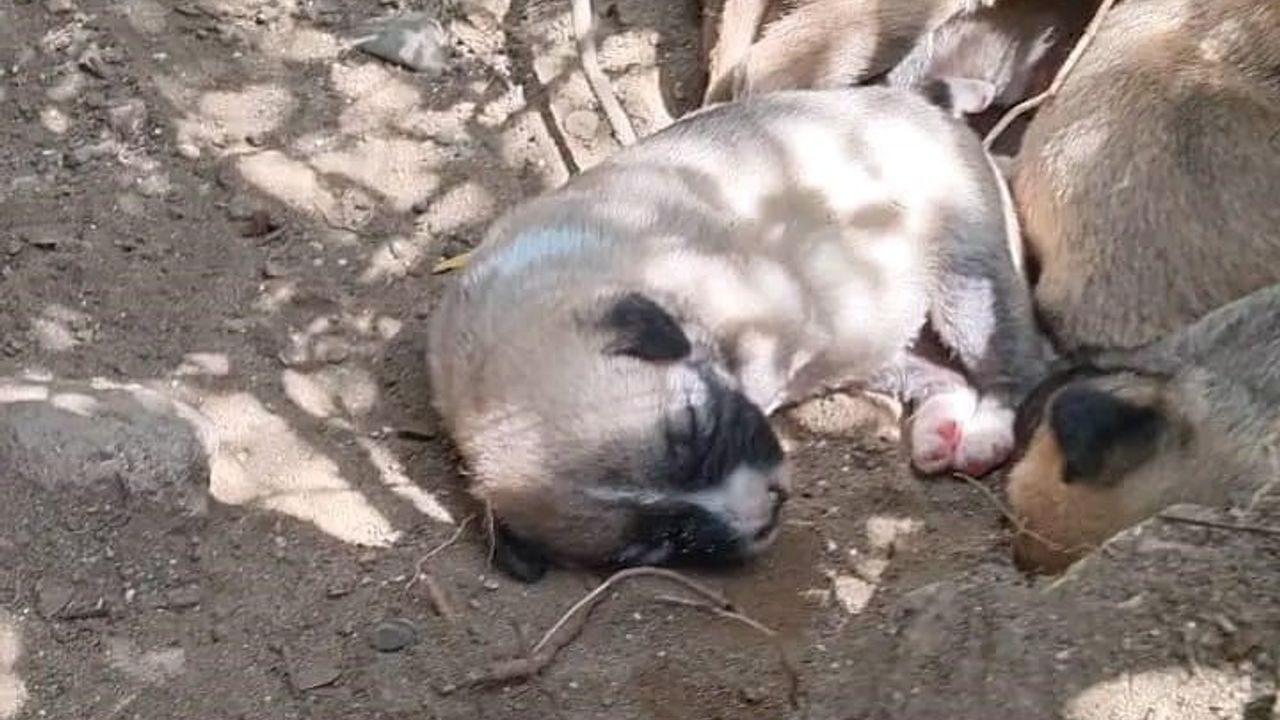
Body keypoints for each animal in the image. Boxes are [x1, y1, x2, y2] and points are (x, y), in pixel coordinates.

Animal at [428, 86, 1051, 581]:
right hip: (878, 351)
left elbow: (759, 370)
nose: (765, 512)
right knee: (942, 376)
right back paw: (940, 427)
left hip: (967, 284)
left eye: (695, 428)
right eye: (660, 542)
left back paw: (987, 431)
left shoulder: (771, 314)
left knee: (1017, 365)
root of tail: (925, 106)